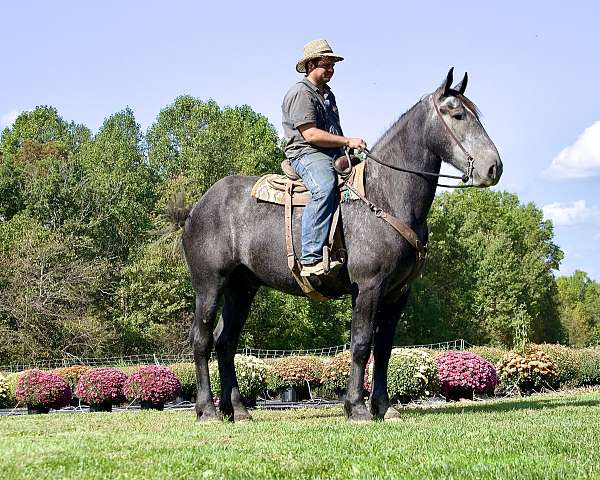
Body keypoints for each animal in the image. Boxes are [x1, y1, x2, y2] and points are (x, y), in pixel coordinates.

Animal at [171, 69, 504, 422]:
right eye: (457, 114)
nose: (493, 167)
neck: (384, 196)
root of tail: (195, 210)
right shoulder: (368, 286)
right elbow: (360, 344)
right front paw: (356, 407)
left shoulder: (397, 293)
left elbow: (383, 350)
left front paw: (384, 407)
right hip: (210, 284)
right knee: (202, 340)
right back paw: (208, 410)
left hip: (242, 287)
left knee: (226, 342)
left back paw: (237, 409)